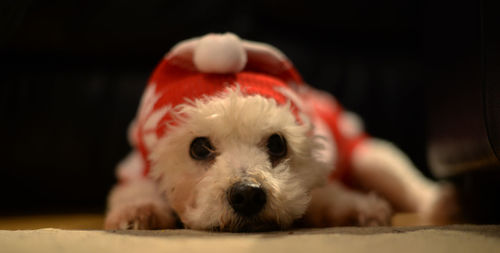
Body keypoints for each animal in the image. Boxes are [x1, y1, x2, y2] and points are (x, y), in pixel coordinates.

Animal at [105, 32, 458, 230]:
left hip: (374, 160)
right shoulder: (137, 169)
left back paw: (443, 205)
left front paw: (358, 209)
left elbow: (327, 193)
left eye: (277, 143)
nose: (248, 195)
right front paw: (139, 212)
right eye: (199, 147)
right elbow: (135, 192)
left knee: (414, 188)